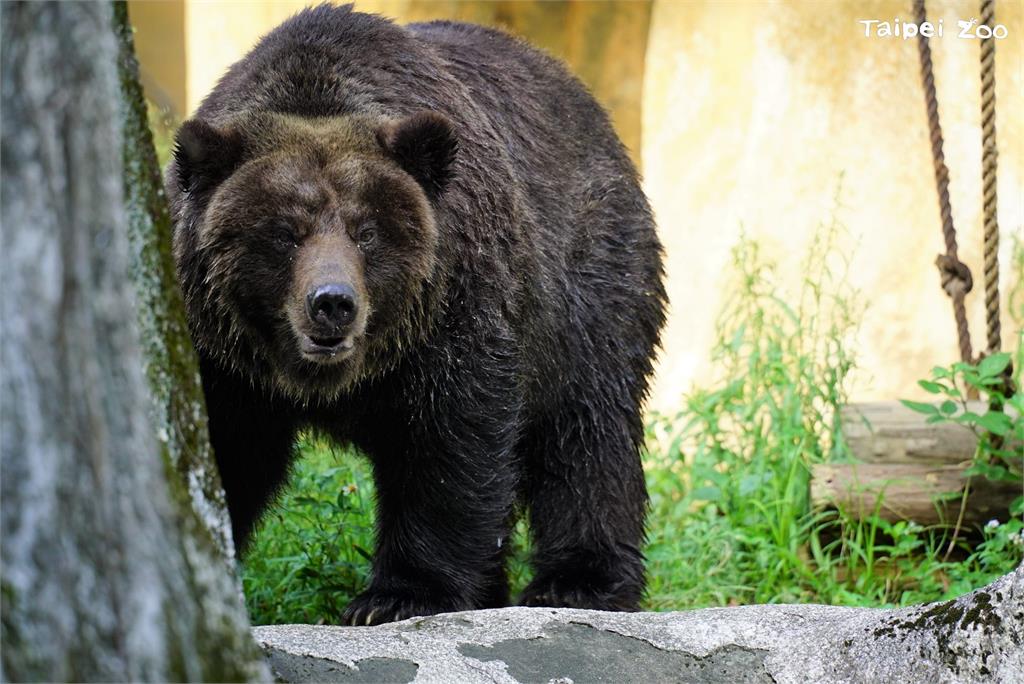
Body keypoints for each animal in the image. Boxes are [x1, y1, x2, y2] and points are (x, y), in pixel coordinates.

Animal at [167, 5, 663, 626]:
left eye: (366, 231)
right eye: (285, 232)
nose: (332, 303)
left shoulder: (452, 315)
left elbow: (448, 448)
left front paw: (398, 595)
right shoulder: (222, 357)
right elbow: (225, 450)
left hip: (587, 285)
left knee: (586, 431)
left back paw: (578, 582)